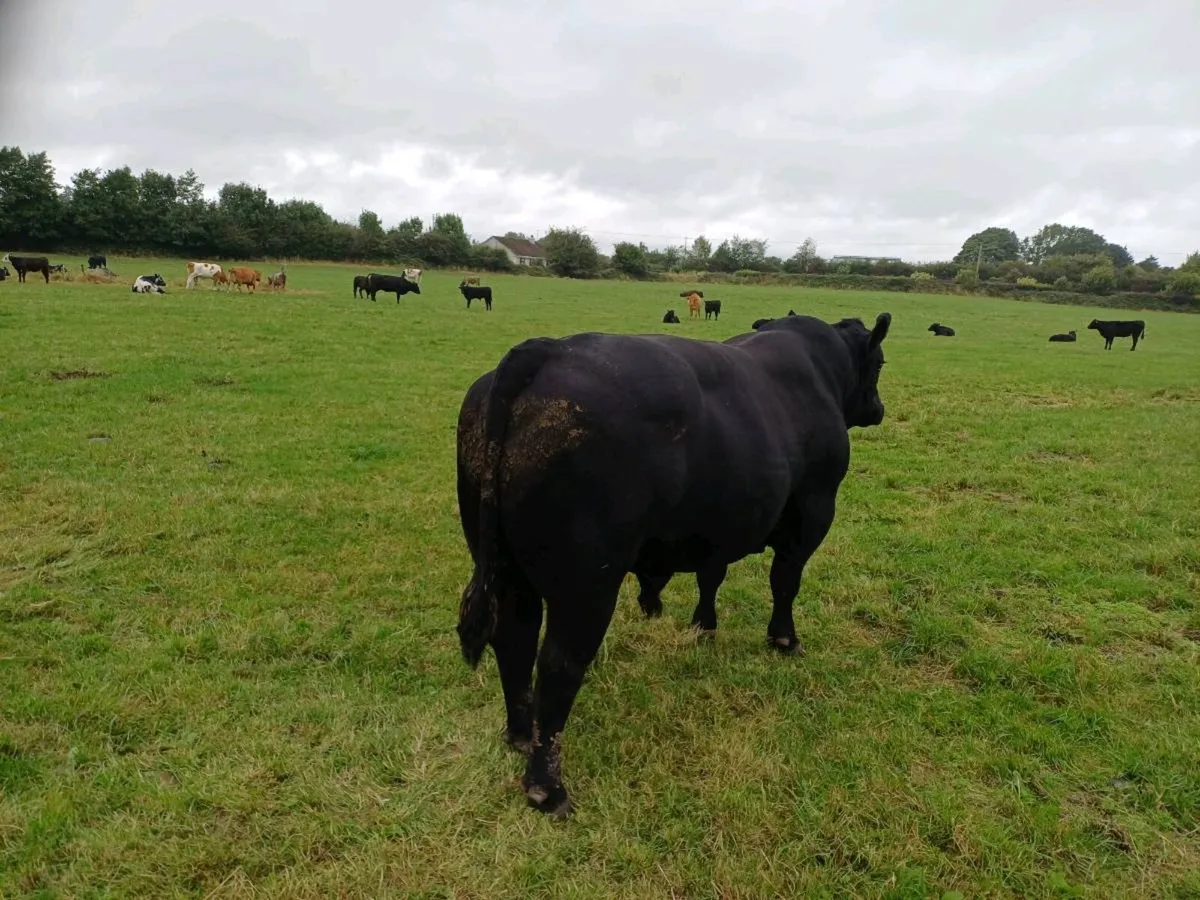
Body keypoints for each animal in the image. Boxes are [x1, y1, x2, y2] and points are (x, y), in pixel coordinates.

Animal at [455, 311, 892, 817]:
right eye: (881, 362)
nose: (878, 408)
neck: (822, 372)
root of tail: (547, 350)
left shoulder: (716, 526)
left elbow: (711, 575)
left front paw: (704, 625)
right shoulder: (813, 512)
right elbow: (785, 582)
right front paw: (784, 639)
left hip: (510, 571)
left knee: (515, 641)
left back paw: (521, 735)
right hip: (587, 586)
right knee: (558, 665)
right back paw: (548, 787)